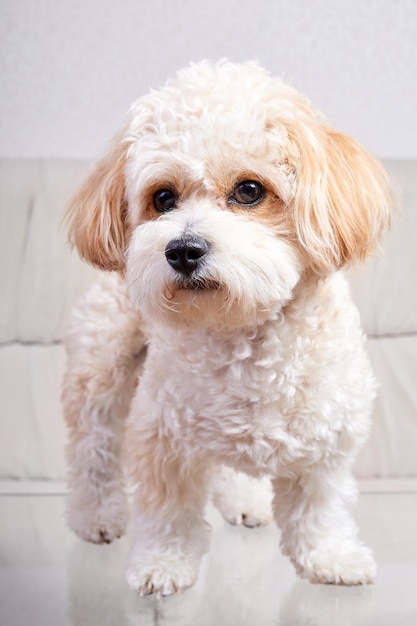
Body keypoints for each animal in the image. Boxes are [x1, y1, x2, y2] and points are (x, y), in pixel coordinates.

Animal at [60, 59, 392, 596]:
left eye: (249, 190)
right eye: (163, 198)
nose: (182, 249)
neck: (243, 330)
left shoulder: (328, 440)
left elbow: (319, 508)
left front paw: (329, 558)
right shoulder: (161, 433)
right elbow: (169, 510)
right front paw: (163, 564)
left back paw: (245, 500)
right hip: (101, 365)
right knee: (92, 447)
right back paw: (96, 518)